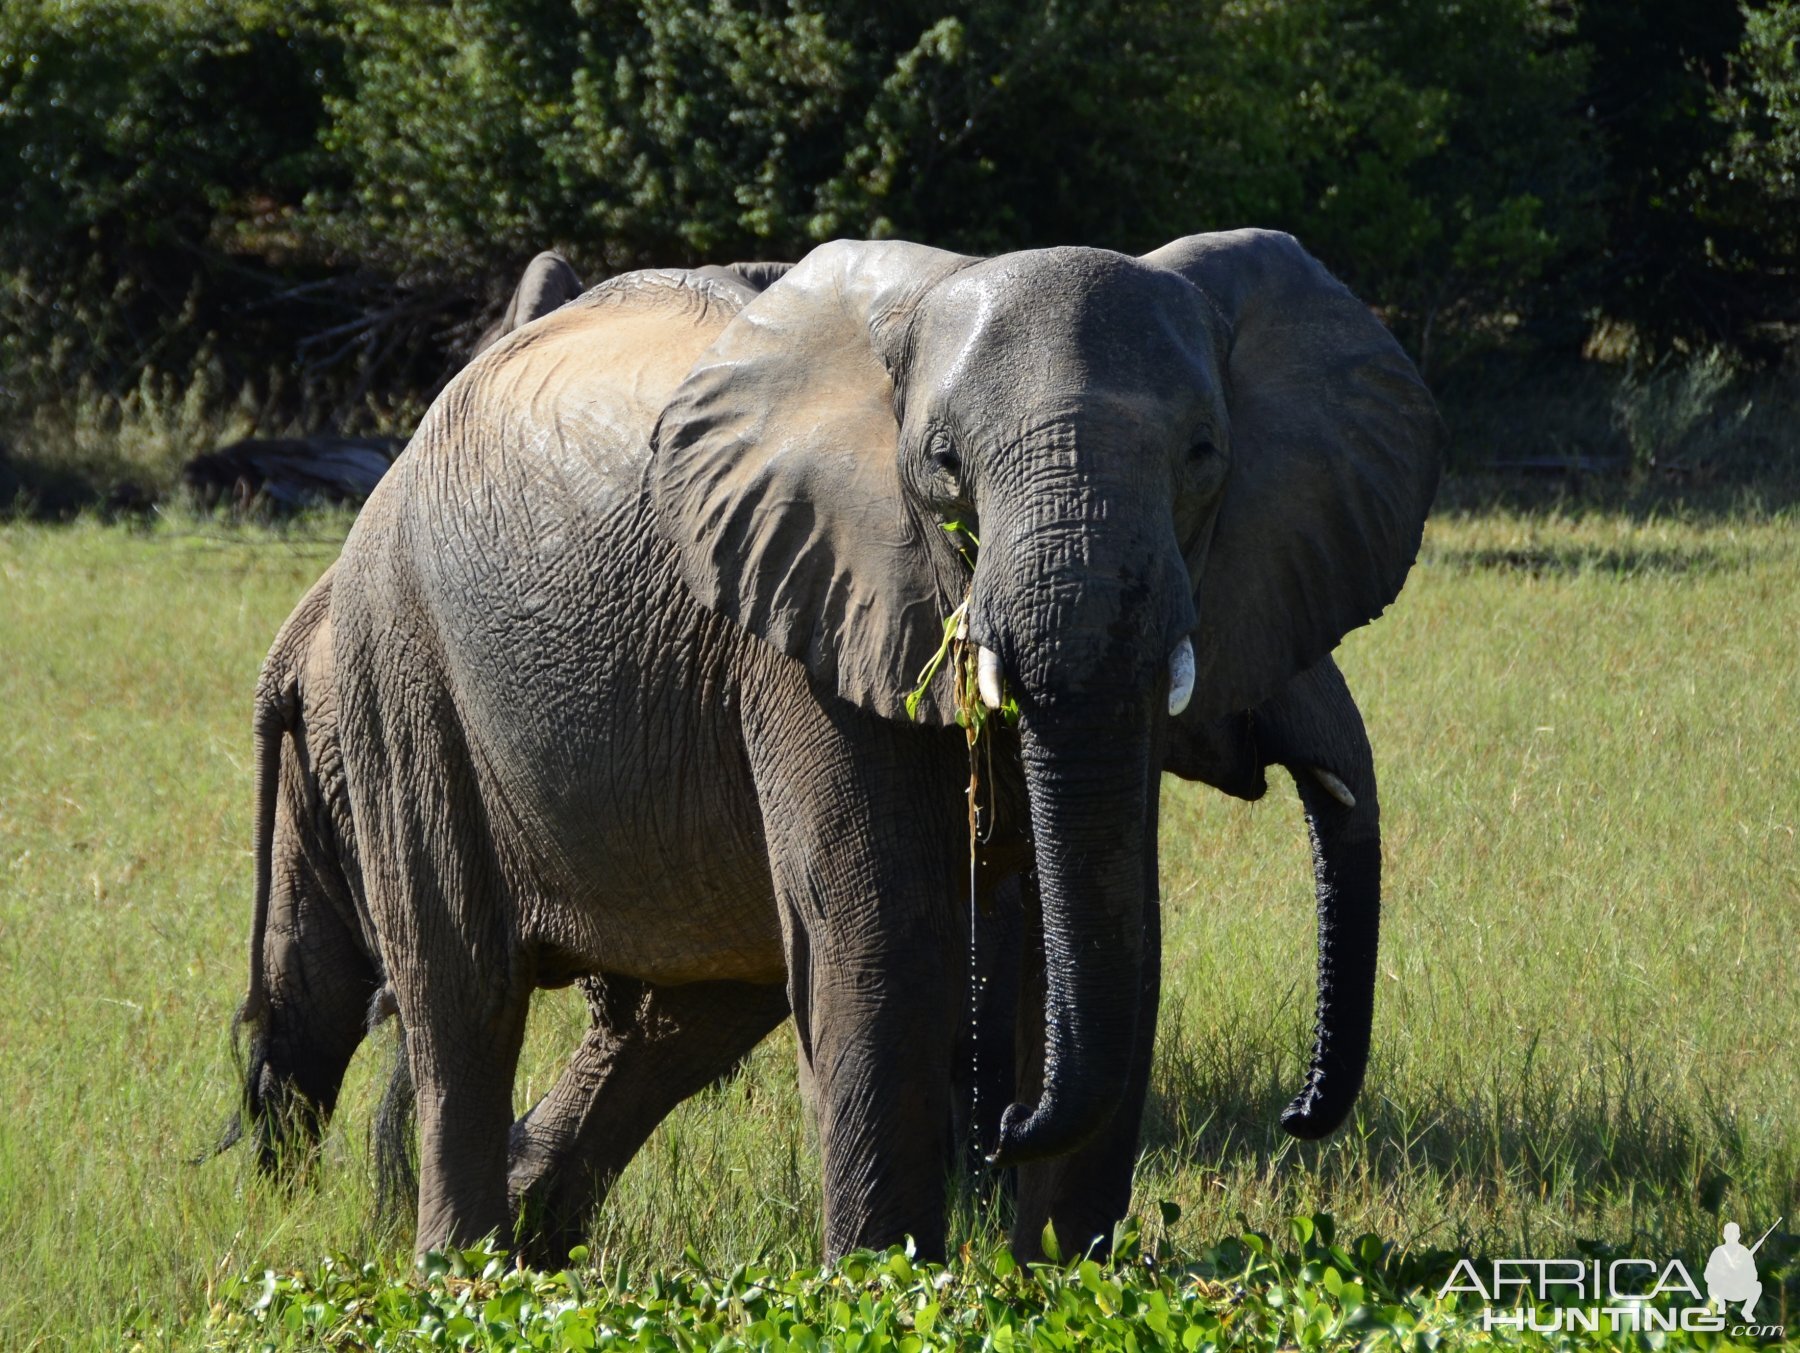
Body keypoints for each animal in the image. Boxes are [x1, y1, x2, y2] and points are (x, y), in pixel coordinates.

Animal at [228, 230, 1432, 1259]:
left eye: (1203, 454)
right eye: (942, 465)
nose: (1301, 1114)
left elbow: (1107, 925)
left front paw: (1061, 1282)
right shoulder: (801, 614)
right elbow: (886, 935)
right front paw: (888, 1282)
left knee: (676, 1017)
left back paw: (533, 1244)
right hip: (401, 676)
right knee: (452, 991)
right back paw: (454, 1268)